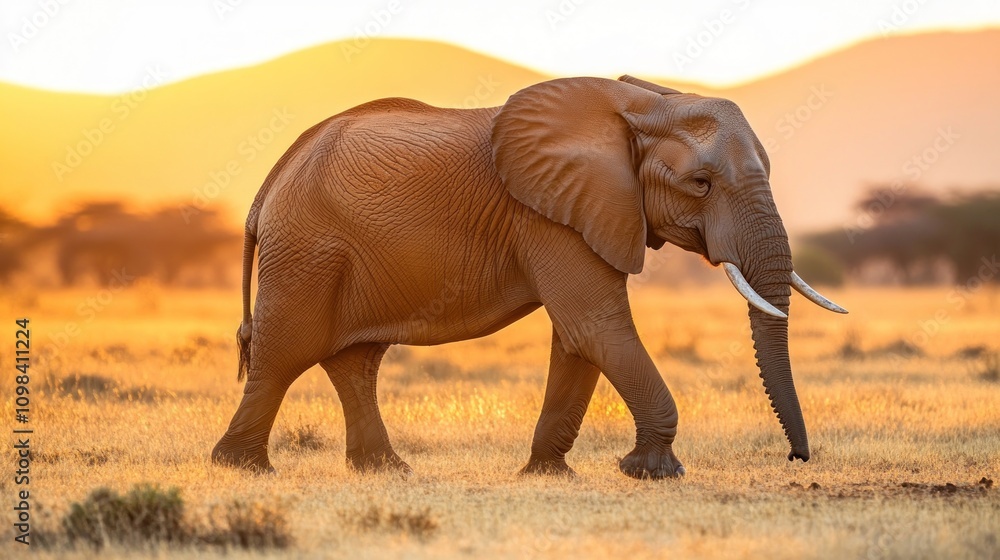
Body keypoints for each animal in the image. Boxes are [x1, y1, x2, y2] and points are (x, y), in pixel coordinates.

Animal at [211, 75, 847, 479]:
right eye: (701, 184)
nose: (796, 459)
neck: (642, 102)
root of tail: (270, 183)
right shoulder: (552, 214)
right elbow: (595, 325)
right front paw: (654, 473)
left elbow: (577, 339)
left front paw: (547, 473)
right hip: (307, 250)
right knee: (284, 352)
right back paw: (243, 468)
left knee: (355, 361)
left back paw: (385, 470)